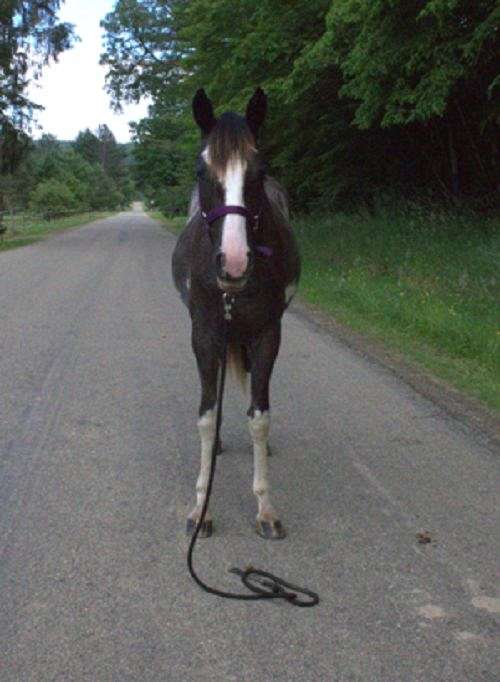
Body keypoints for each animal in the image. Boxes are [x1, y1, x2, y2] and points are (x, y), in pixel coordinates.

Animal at [172, 88, 300, 540]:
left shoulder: (267, 334)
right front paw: (200, 508)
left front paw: (265, 507)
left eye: (259, 171)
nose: (234, 263)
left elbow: (259, 417)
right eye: (201, 169)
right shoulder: (205, 335)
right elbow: (207, 416)